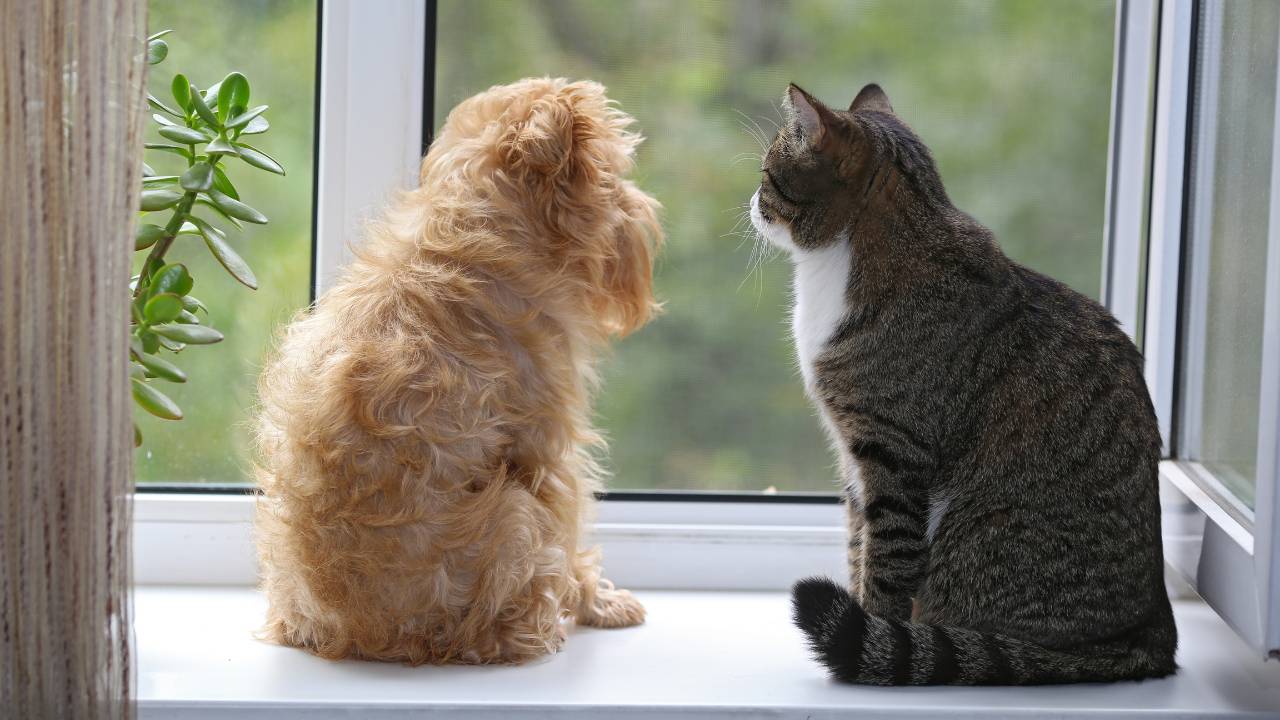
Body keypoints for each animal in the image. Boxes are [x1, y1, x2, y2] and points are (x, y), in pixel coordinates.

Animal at [256, 77, 665, 661]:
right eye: (614, 173)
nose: (644, 207)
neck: (481, 224)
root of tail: (362, 636)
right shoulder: (548, 455)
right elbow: (572, 536)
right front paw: (597, 602)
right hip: (515, 512)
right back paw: (538, 625)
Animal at [747, 81, 1177, 681]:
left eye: (767, 174)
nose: (750, 203)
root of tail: (1153, 633)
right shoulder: (855, 460)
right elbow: (858, 546)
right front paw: (861, 617)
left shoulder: (893, 453)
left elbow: (885, 564)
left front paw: (869, 632)